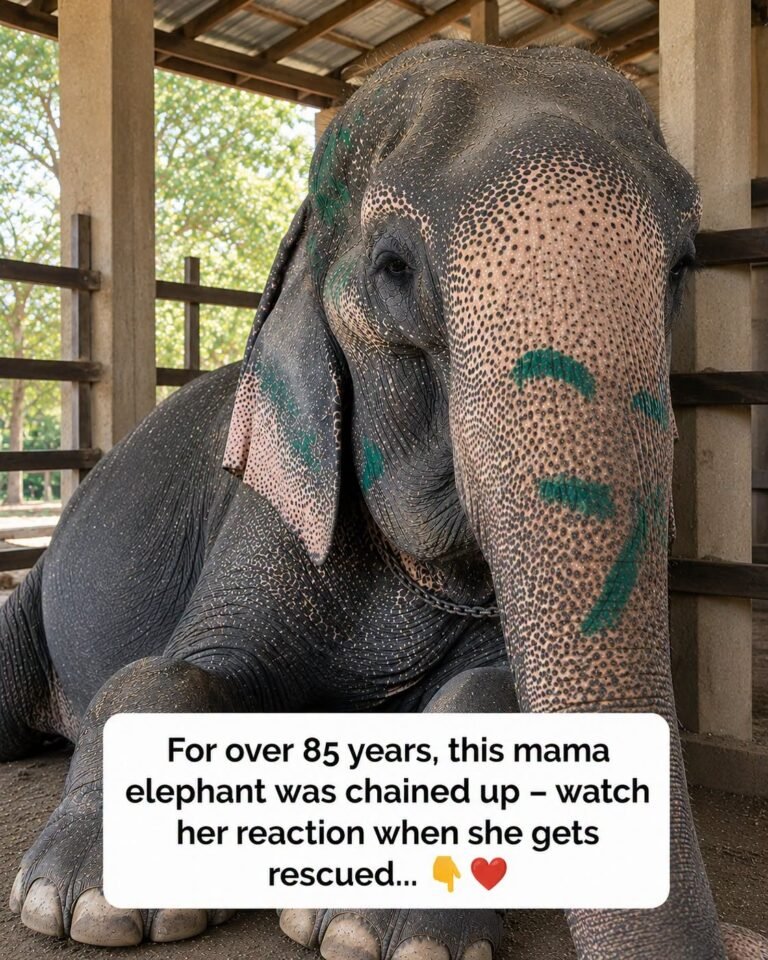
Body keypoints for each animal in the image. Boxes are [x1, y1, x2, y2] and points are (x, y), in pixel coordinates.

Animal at [0, 38, 765, 960]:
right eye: (395, 268)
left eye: (682, 265)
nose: (739, 939)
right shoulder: (271, 504)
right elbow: (167, 675)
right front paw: (84, 907)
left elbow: (494, 691)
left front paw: (368, 931)